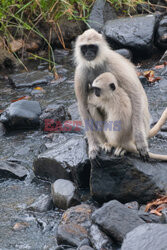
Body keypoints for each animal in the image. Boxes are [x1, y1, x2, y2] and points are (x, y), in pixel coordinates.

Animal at [73, 27, 164, 160]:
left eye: (92, 47)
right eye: (84, 47)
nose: (88, 53)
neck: (96, 64)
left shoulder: (113, 63)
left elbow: (135, 94)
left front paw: (140, 142)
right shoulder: (81, 72)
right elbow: (83, 105)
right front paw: (93, 146)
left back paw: (124, 145)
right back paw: (105, 142)